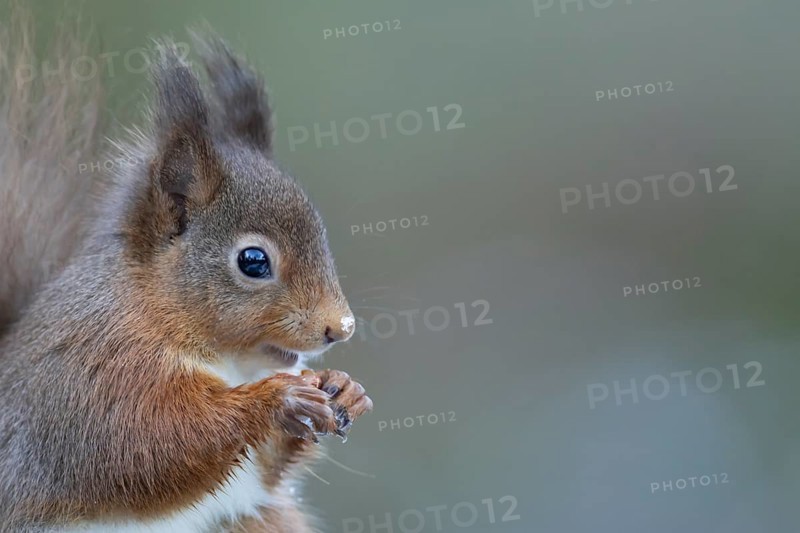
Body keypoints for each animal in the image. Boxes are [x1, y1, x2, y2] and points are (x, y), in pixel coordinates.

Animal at [0, 8, 373, 533]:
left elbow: (264, 467)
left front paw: (345, 389)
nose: (340, 328)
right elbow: (144, 445)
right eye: (253, 261)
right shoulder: (90, 375)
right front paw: (275, 400)